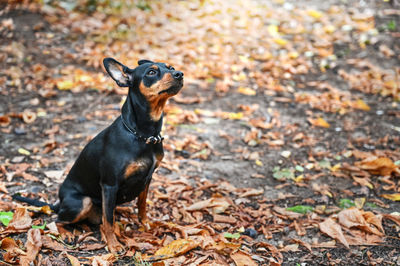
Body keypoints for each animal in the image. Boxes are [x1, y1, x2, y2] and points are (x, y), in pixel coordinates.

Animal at [12, 57, 184, 252]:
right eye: (152, 72)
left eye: (171, 67)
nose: (179, 74)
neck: (143, 135)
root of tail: (59, 203)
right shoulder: (110, 185)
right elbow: (108, 221)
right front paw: (113, 245)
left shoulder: (147, 179)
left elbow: (141, 205)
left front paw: (145, 224)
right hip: (82, 202)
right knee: (58, 220)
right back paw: (67, 233)